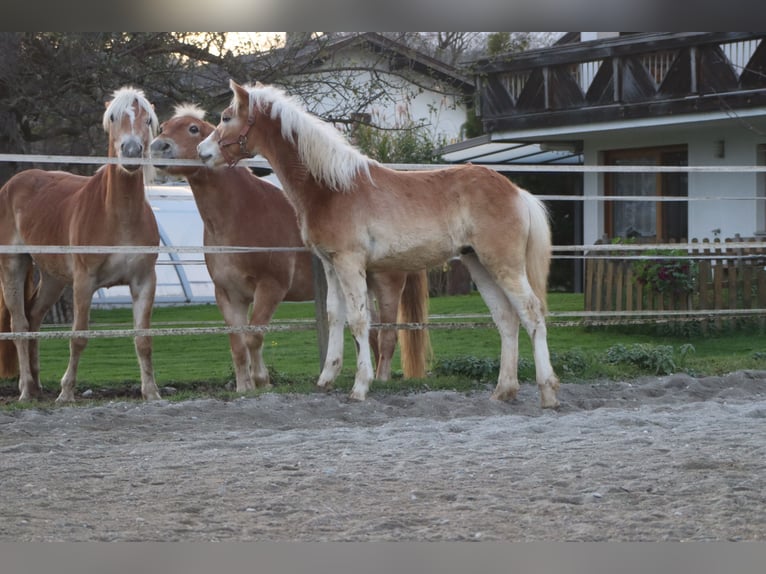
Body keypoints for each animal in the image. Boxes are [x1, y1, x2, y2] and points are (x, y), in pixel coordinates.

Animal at [0, 86, 160, 400]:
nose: (131, 152)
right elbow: (79, 337)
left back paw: (36, 385)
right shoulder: (84, 282)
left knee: (34, 316)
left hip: (53, 277)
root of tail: (13, 183)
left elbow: (143, 339)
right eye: (113, 117)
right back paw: (25, 391)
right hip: (13, 264)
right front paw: (66, 393)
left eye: (148, 120)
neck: (118, 216)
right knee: (20, 324)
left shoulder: (144, 281)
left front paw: (151, 392)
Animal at [150, 104, 432, 392]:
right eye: (163, 127)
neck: (240, 213)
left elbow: (254, 335)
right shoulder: (228, 294)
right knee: (372, 333)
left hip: (387, 285)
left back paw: (382, 379)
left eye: (193, 129)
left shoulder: (270, 288)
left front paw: (262, 380)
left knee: (388, 336)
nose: (158, 146)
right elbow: (238, 345)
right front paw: (244, 387)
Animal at [195, 80, 560, 410]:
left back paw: (547, 393)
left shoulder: (350, 262)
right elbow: (335, 316)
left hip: (503, 264)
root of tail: (516, 192)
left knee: (531, 313)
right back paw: (503, 391)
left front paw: (360, 387)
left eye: (226, 116)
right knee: (506, 319)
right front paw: (327, 379)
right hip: (479, 264)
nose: (202, 153)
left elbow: (359, 321)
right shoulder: (330, 265)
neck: (331, 187)